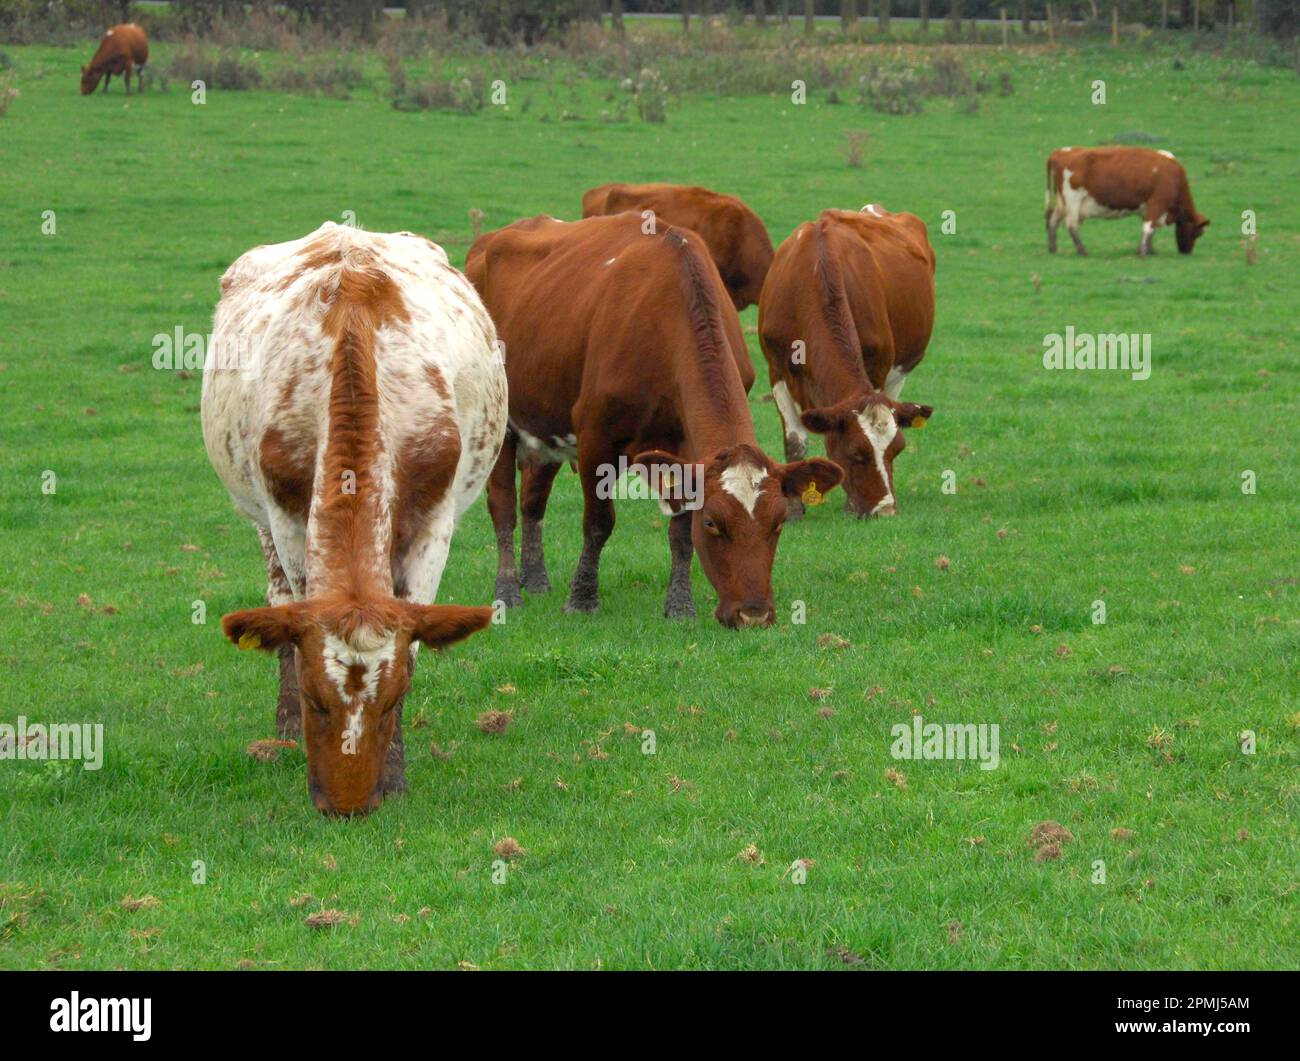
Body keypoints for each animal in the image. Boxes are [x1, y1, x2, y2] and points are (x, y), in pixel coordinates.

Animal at [201, 222, 507, 816]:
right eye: (315, 697)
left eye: (395, 697)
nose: (347, 807)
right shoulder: (287, 518)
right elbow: (292, 609)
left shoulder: (435, 522)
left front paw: (395, 773)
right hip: (256, 515)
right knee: (275, 596)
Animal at [465, 213, 842, 629]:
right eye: (713, 523)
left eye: (778, 522)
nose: (754, 614)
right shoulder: (595, 437)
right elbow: (599, 522)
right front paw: (582, 599)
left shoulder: (686, 454)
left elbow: (680, 532)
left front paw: (680, 605)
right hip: (500, 425)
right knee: (503, 507)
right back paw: (508, 591)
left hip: (544, 426)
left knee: (533, 501)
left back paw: (535, 580)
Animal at [759, 206, 936, 520]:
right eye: (856, 453)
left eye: (897, 450)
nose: (885, 510)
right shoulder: (776, 370)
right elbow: (794, 441)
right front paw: (793, 509)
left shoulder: (877, 367)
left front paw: (849, 505)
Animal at [1046, 146, 1210, 257]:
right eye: (1198, 232)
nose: (1186, 252)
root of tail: (1061, 152)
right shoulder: (1157, 202)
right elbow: (1148, 227)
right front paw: (1143, 253)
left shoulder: (1148, 208)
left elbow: (1150, 229)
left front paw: (1150, 250)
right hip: (1073, 201)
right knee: (1072, 226)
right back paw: (1082, 250)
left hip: (1061, 203)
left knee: (1053, 222)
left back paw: (1053, 248)